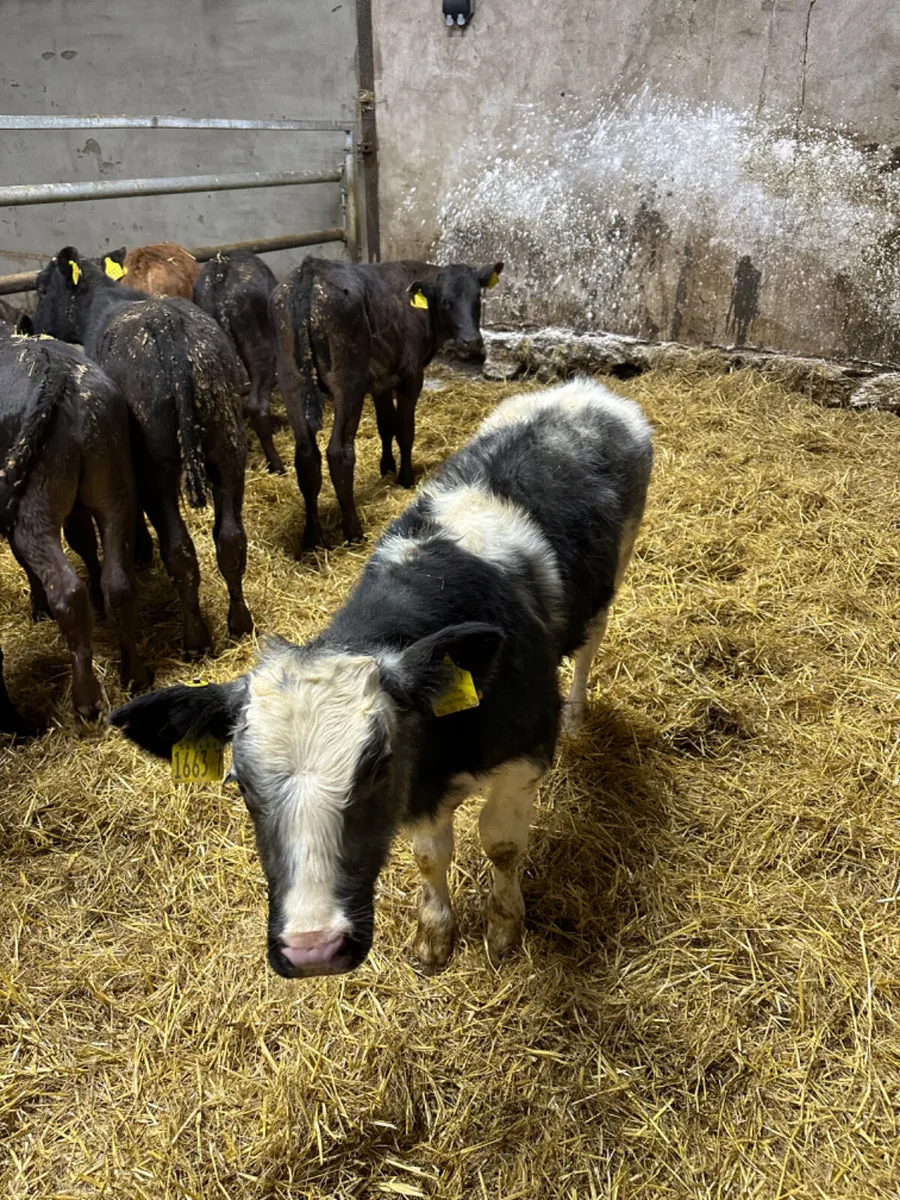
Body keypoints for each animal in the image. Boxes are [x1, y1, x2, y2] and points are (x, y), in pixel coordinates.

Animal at [0, 324, 148, 719]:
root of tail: (60, 374)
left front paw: (37, 607)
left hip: (33, 510)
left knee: (67, 591)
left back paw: (86, 701)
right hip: (114, 488)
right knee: (119, 584)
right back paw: (134, 674)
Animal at [31, 246, 253, 658]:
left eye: (40, 288)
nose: (34, 324)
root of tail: (168, 327)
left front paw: (140, 551)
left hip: (157, 468)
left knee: (180, 551)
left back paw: (195, 639)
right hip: (229, 446)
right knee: (231, 539)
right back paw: (240, 623)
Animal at [110, 377, 653, 979]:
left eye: (376, 766)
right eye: (242, 786)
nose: (313, 948)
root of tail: (583, 389)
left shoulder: (524, 754)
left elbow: (501, 844)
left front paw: (504, 927)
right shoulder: (420, 793)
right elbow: (430, 855)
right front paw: (434, 936)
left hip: (616, 569)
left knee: (588, 647)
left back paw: (578, 716)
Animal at [270, 257, 504, 553]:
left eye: (477, 298)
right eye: (446, 301)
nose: (471, 341)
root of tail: (309, 270)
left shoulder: (380, 379)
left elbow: (386, 425)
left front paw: (387, 468)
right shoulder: (410, 373)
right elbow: (404, 429)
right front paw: (405, 477)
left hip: (290, 381)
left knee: (306, 456)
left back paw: (312, 538)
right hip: (348, 381)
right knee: (338, 452)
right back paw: (353, 532)